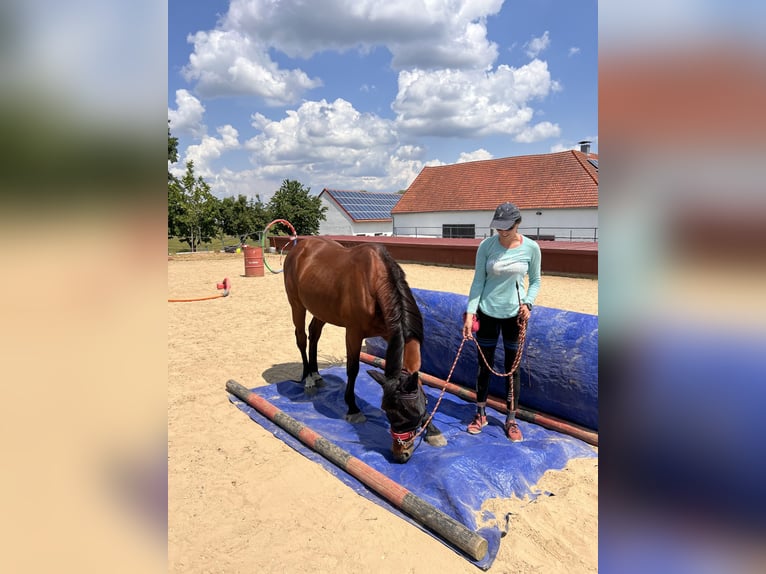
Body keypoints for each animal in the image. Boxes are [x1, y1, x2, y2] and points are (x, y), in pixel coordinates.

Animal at [283, 237, 446, 463]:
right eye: (388, 413)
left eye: (410, 413)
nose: (401, 455)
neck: (375, 283)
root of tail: (298, 246)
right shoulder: (353, 333)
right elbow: (353, 369)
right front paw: (353, 408)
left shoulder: (392, 333)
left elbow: (417, 376)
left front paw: (432, 430)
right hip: (296, 304)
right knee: (301, 338)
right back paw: (308, 378)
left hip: (321, 309)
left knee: (314, 334)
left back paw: (316, 374)